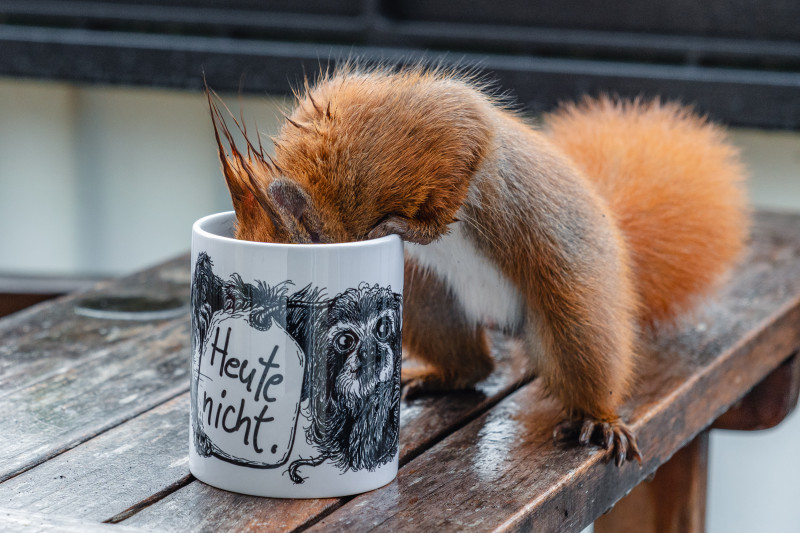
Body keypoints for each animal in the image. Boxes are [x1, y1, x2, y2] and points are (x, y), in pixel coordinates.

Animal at [205, 63, 744, 466]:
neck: (331, 190)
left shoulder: (416, 136)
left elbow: (462, 159)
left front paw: (407, 229)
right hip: (428, 302)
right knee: (475, 365)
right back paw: (435, 376)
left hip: (575, 310)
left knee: (585, 357)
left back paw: (600, 419)